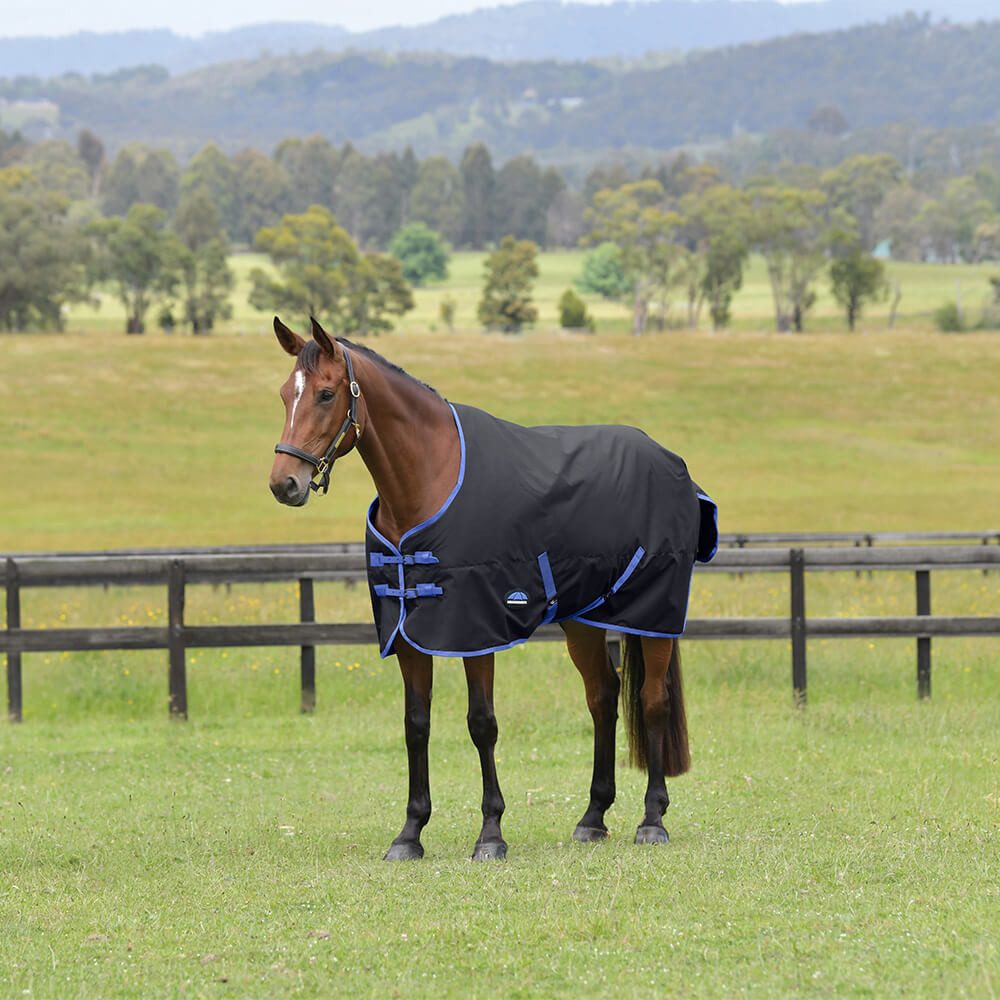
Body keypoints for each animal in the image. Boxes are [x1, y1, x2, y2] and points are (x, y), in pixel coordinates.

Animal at [268, 316, 717, 861]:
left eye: (327, 394)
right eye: (284, 395)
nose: (284, 483)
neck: (429, 480)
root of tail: (671, 462)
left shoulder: (475, 630)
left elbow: (481, 723)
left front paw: (490, 834)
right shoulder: (408, 635)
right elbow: (415, 724)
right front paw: (410, 833)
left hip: (652, 616)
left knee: (652, 700)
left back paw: (652, 819)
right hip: (583, 620)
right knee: (603, 697)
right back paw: (592, 817)